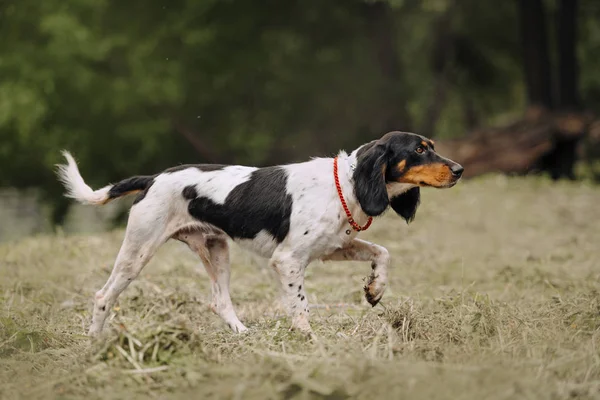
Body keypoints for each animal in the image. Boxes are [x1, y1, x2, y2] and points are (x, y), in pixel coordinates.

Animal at [57, 130, 464, 334]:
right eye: (419, 150)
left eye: (431, 147)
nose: (460, 169)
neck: (346, 185)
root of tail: (153, 177)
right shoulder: (288, 261)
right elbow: (301, 308)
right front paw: (309, 342)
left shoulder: (333, 247)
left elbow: (383, 252)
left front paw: (375, 289)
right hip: (137, 252)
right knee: (102, 296)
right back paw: (96, 344)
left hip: (217, 249)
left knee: (220, 301)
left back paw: (242, 336)